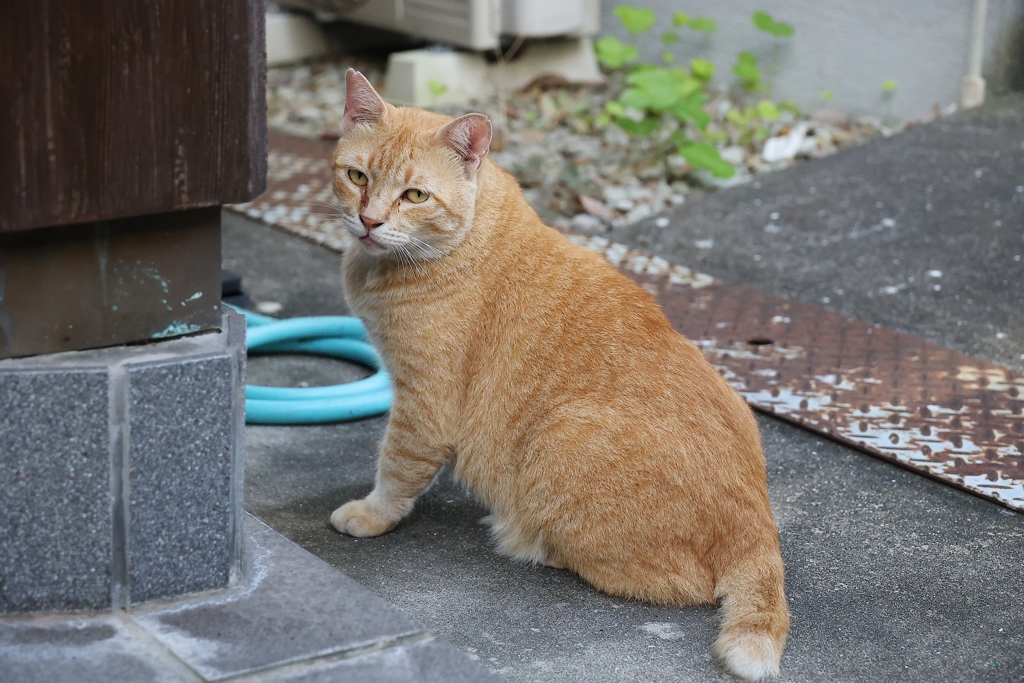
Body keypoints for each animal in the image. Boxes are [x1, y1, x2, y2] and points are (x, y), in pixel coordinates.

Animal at [331, 70, 786, 683]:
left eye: (415, 196)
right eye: (357, 176)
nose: (370, 221)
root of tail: (759, 523)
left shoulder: (424, 405)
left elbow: (395, 468)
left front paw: (371, 513)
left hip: (561, 436)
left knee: (677, 584)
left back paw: (528, 542)